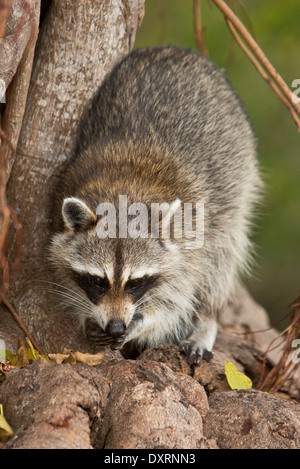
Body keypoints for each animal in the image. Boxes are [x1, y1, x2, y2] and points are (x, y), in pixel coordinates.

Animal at [48, 45, 260, 364]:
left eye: (135, 283)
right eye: (98, 281)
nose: (115, 326)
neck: (121, 196)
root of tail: (176, 51)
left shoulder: (189, 241)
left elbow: (176, 301)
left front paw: (146, 323)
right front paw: (86, 315)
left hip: (236, 172)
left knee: (223, 256)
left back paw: (207, 319)